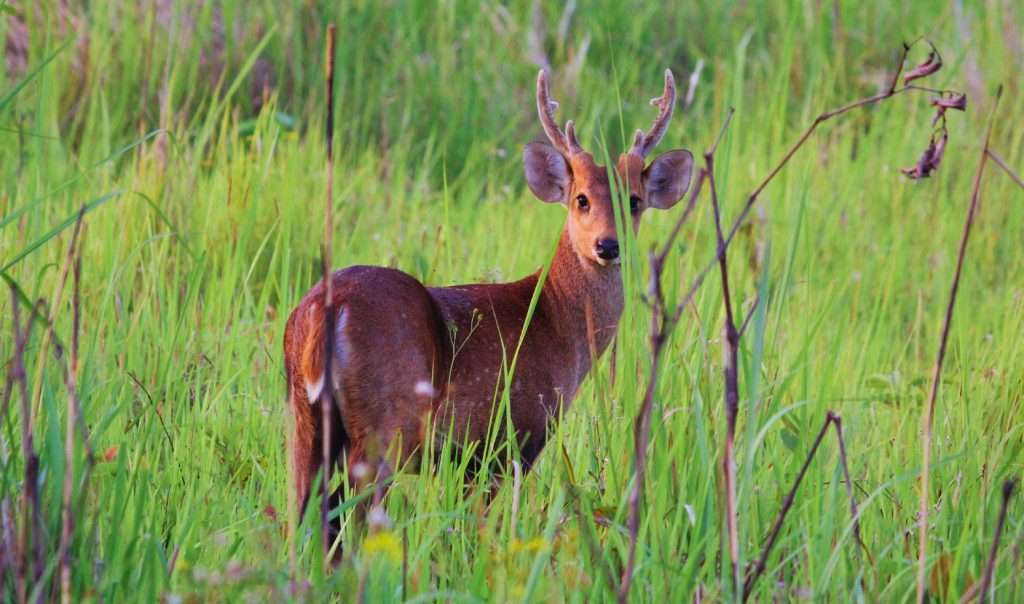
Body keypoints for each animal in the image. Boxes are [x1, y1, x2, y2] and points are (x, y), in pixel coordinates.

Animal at [284, 68, 692, 540]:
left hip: (304, 416)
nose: (607, 245)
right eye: (582, 199)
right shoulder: (511, 437)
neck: (555, 320)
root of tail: (326, 311)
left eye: (634, 201)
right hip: (384, 426)